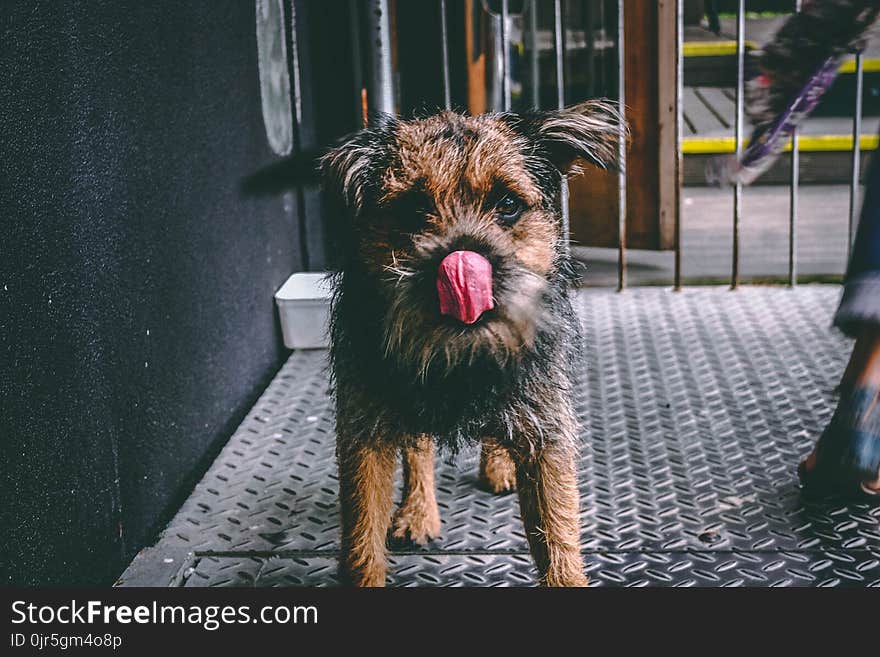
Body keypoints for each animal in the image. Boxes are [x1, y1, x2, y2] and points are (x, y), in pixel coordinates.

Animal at [320, 100, 624, 588]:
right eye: (413, 210)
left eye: (508, 205)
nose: (462, 268)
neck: (462, 358)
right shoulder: (365, 434)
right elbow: (363, 539)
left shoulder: (546, 434)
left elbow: (557, 538)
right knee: (418, 446)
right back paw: (419, 511)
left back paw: (498, 466)